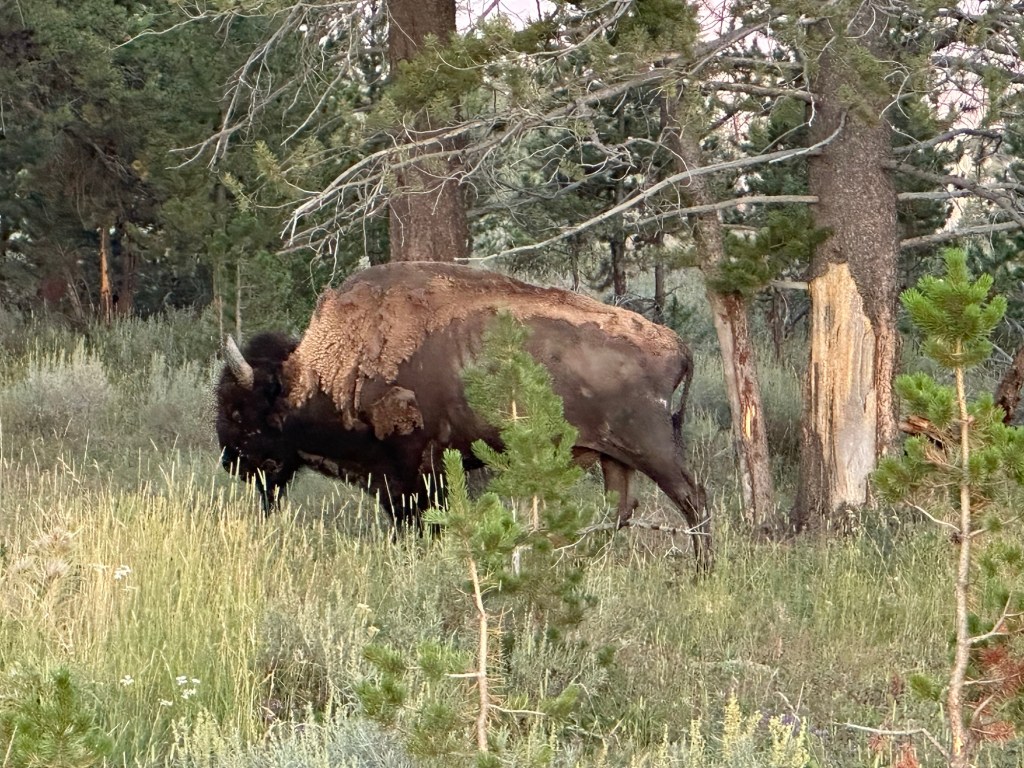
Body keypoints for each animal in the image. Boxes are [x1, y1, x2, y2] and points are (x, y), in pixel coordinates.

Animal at [216, 262, 709, 568]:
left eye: (240, 411)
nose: (230, 461)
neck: (337, 368)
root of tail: (675, 344)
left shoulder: (410, 470)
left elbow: (416, 521)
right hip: (614, 456)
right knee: (620, 509)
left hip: (652, 448)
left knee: (693, 499)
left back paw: (702, 569)